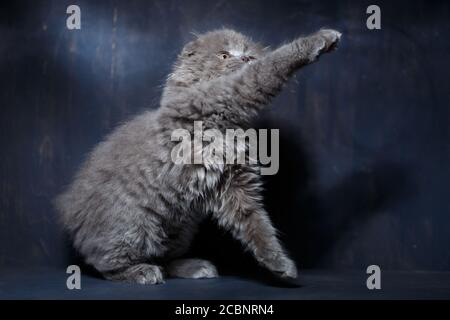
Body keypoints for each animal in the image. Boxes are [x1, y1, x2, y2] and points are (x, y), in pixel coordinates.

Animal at [55, 26, 342, 282]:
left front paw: (278, 263)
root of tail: (70, 215)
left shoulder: (235, 184)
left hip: (180, 227)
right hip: (132, 225)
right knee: (106, 263)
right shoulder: (226, 94)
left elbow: (256, 224)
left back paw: (194, 267)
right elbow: (266, 70)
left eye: (249, 56)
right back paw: (140, 272)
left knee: (165, 257)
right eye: (224, 55)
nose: (243, 60)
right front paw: (321, 40)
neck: (231, 128)